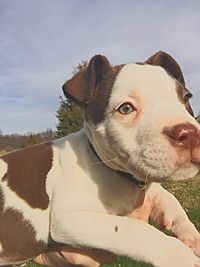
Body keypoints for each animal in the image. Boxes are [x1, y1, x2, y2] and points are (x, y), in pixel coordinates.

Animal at [0, 51, 200, 266]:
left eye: (186, 98)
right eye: (126, 109)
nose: (190, 134)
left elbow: (167, 197)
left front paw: (191, 235)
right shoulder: (70, 218)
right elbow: (133, 229)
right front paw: (182, 257)